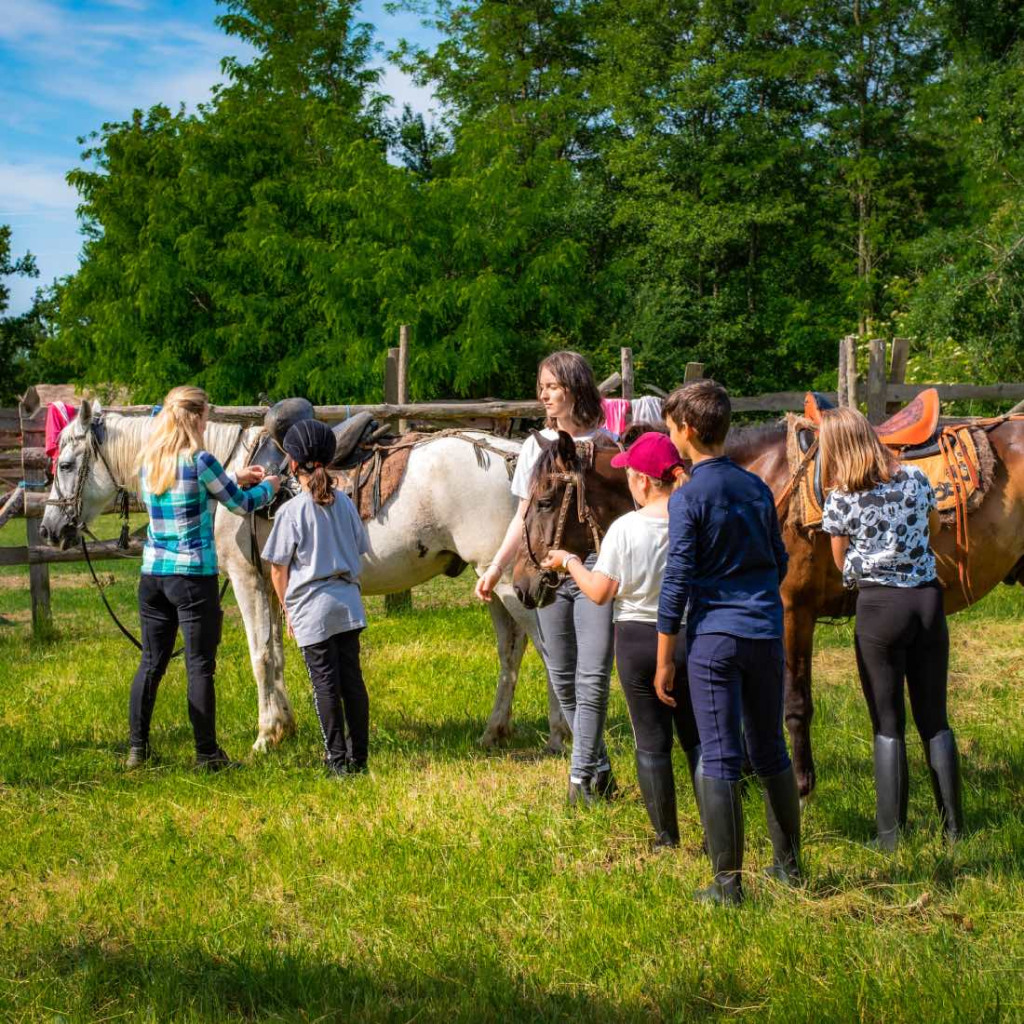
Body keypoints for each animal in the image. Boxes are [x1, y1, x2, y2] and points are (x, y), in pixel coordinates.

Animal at [39, 399, 569, 753]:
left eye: (65, 464)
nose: (49, 528)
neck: (226, 472)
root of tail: (516, 458)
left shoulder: (248, 581)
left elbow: (258, 657)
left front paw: (264, 738)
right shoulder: (271, 585)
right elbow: (274, 655)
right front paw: (284, 729)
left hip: (509, 584)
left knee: (546, 648)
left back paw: (560, 735)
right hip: (493, 585)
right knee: (512, 650)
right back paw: (494, 731)